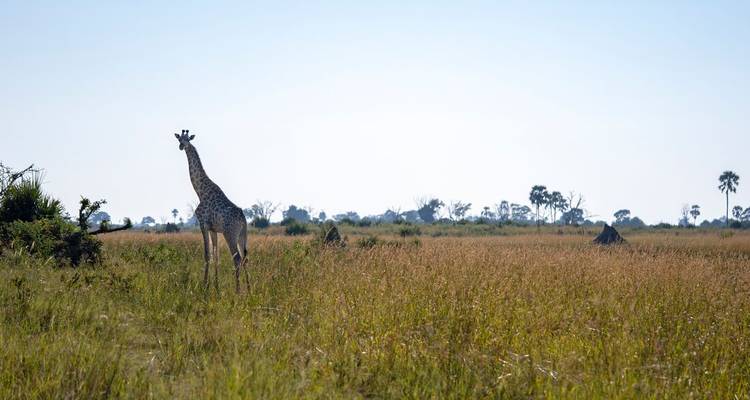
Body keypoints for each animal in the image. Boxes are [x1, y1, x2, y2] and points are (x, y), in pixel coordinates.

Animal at [174, 130, 250, 293]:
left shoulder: (203, 224)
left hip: (230, 234)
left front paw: (205, 286)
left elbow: (207, 254)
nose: (181, 146)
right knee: (245, 258)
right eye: (179, 139)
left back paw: (238, 291)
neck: (200, 191)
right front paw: (216, 287)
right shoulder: (213, 229)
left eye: (188, 139)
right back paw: (250, 289)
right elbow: (216, 256)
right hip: (242, 235)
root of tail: (243, 219)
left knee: (237, 259)